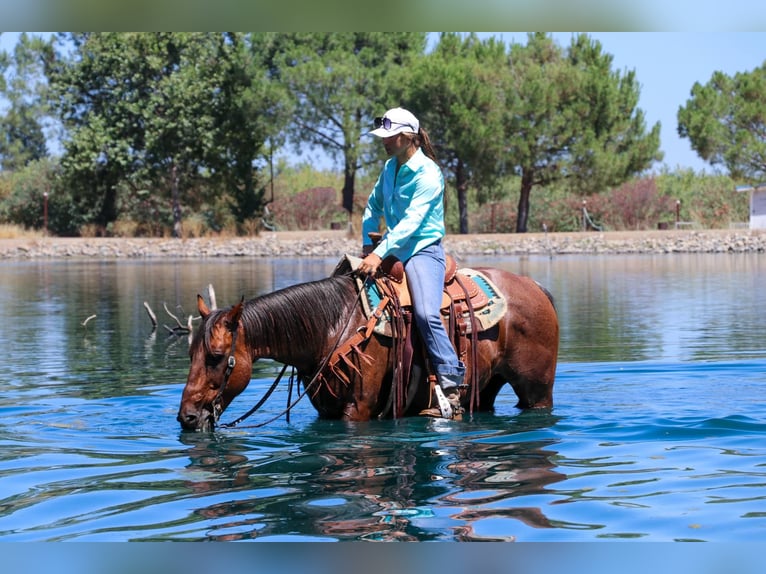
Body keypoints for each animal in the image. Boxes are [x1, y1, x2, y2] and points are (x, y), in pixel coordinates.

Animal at [180, 266, 564, 432]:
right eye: (190, 355)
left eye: (216, 357)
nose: (187, 418)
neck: (333, 326)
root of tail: (535, 286)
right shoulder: (327, 410)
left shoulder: (358, 409)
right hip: (485, 387)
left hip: (537, 391)